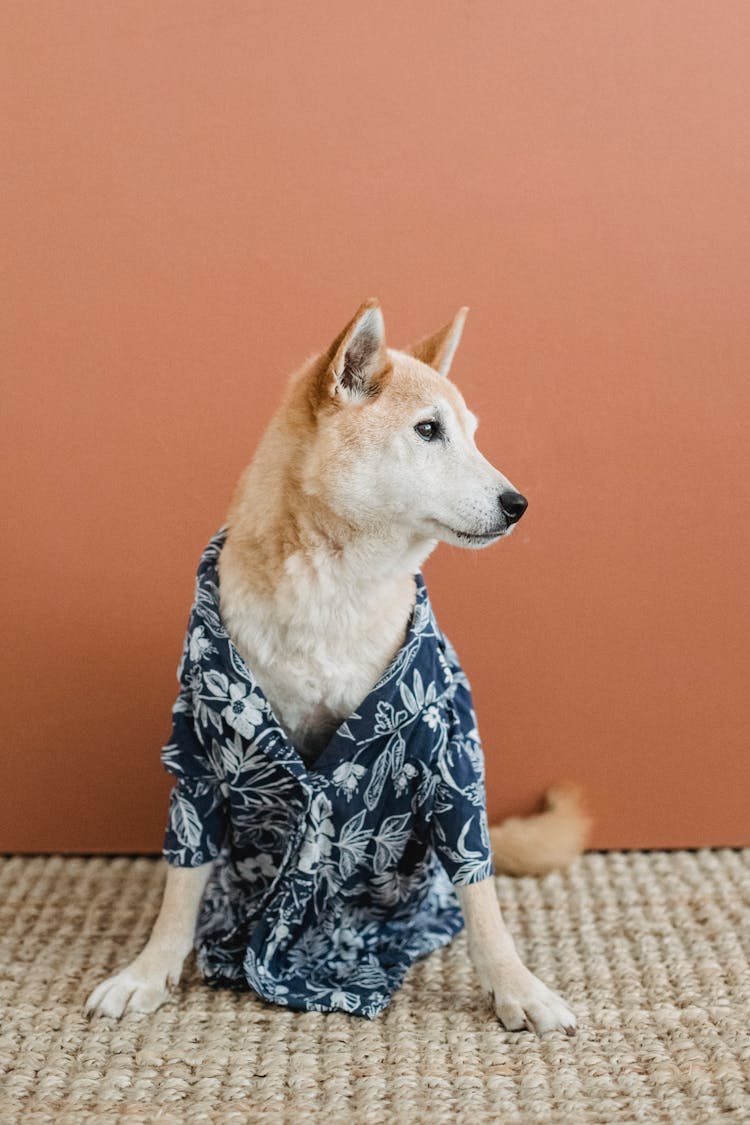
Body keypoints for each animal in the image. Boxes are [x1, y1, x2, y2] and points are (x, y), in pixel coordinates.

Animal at [84, 303, 589, 1030]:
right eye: (428, 430)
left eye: (470, 433)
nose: (518, 504)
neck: (332, 592)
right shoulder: (200, 755)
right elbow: (181, 885)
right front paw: (148, 970)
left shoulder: (449, 756)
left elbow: (481, 894)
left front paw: (515, 986)